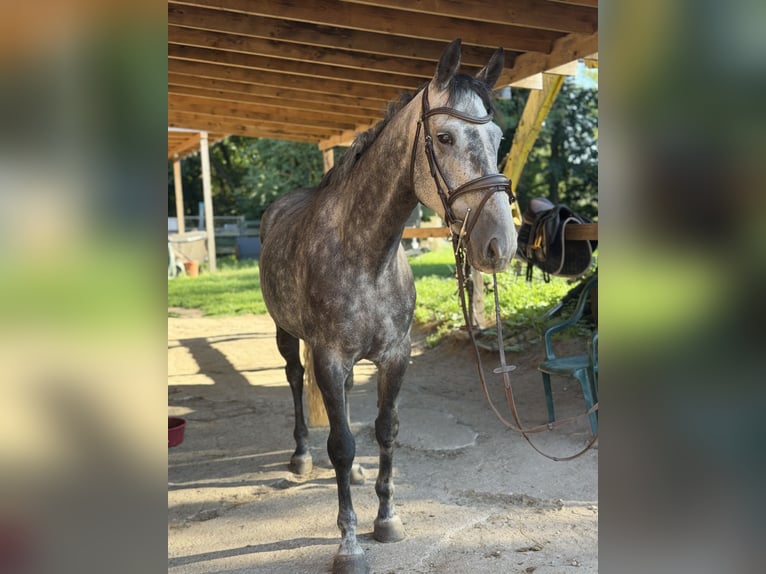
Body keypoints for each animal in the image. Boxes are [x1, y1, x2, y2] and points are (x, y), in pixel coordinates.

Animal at [259, 39, 517, 574]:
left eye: (499, 135)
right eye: (443, 137)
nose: (500, 244)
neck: (364, 253)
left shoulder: (395, 357)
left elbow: (385, 431)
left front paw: (387, 519)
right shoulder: (329, 357)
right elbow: (339, 442)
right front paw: (349, 544)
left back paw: (356, 472)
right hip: (286, 334)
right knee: (295, 382)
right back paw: (300, 456)